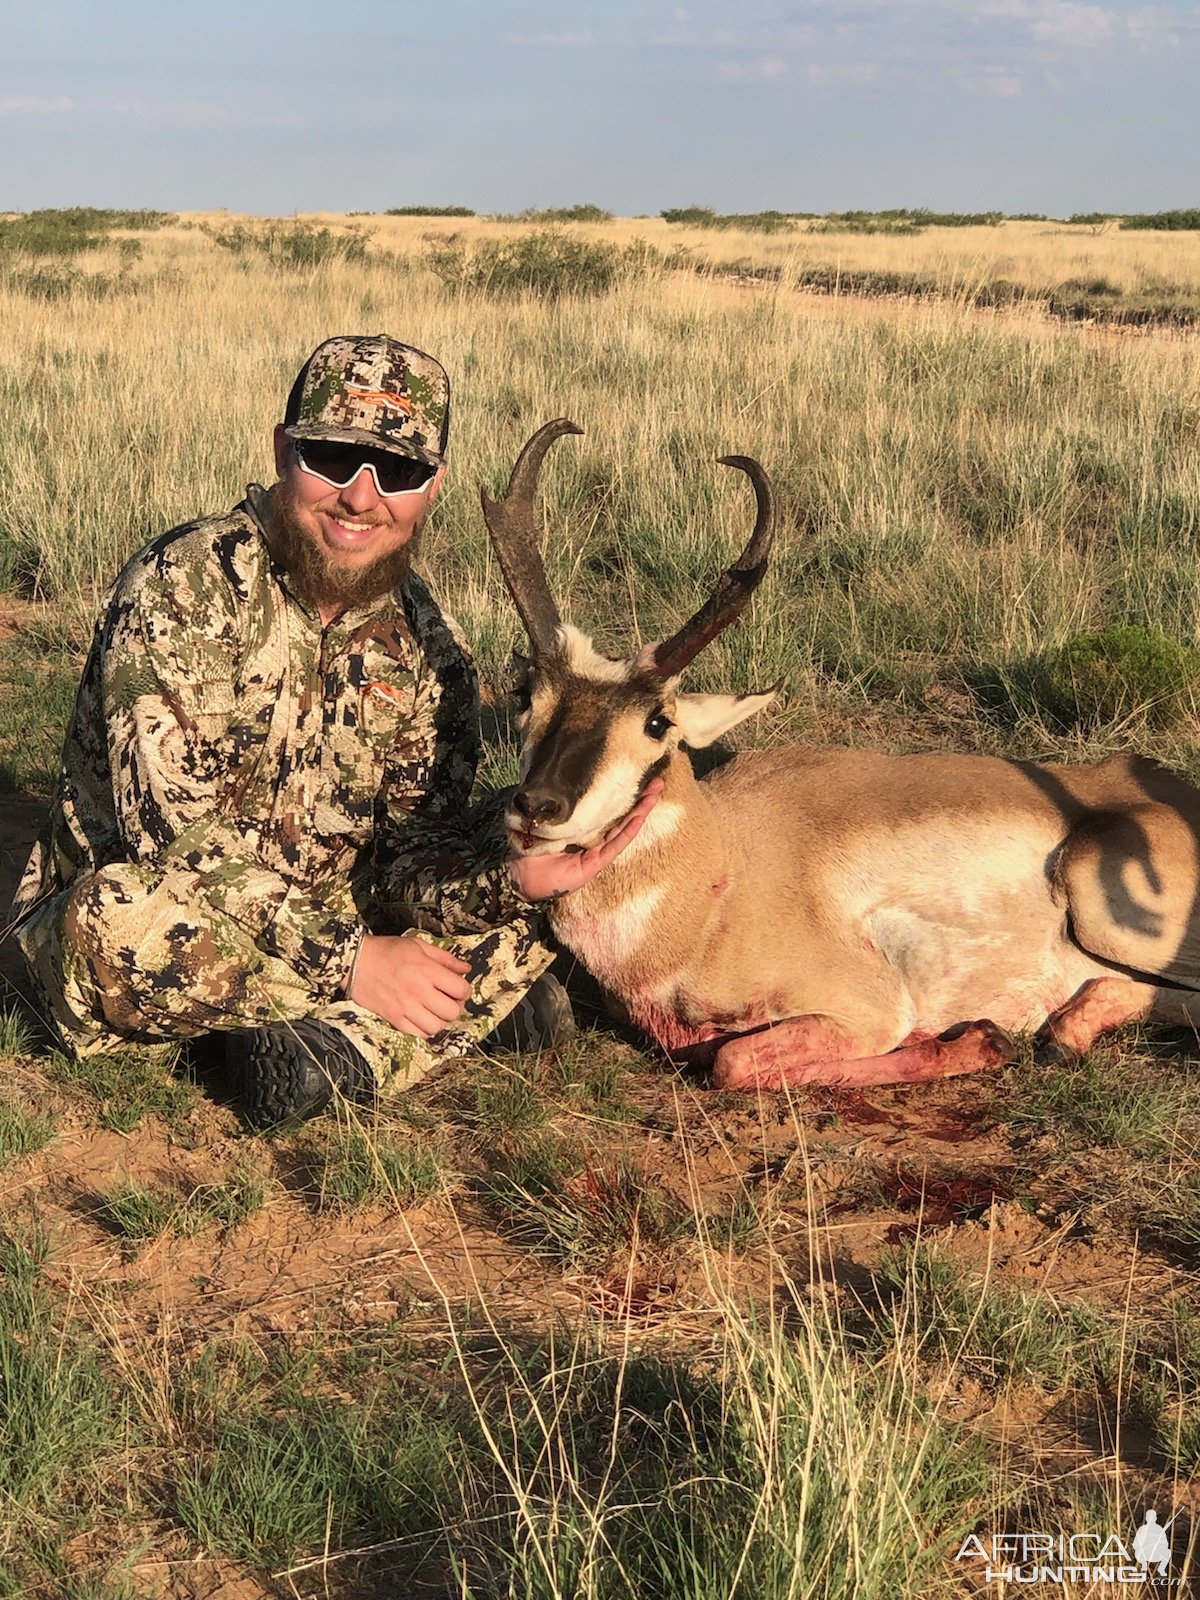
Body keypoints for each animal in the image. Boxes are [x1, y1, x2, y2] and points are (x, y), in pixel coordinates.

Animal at [483, 419, 1200, 1094]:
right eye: (526, 693)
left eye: (658, 721)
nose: (537, 807)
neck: (725, 871)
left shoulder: (868, 1011)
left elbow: (733, 1062)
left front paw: (979, 1039)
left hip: (1101, 907)